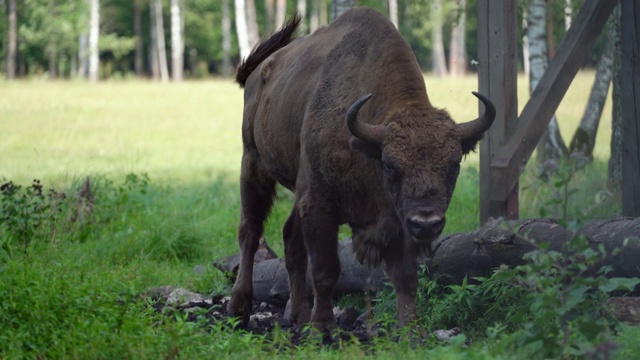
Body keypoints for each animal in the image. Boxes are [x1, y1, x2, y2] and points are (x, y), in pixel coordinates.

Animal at [228, 7, 498, 332]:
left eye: (454, 163)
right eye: (390, 165)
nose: (427, 223)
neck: (366, 146)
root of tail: (258, 73)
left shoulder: (398, 216)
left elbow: (405, 275)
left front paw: (410, 330)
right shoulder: (319, 204)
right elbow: (325, 270)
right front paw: (322, 327)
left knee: (290, 240)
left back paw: (298, 316)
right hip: (253, 165)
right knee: (250, 232)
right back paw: (239, 310)